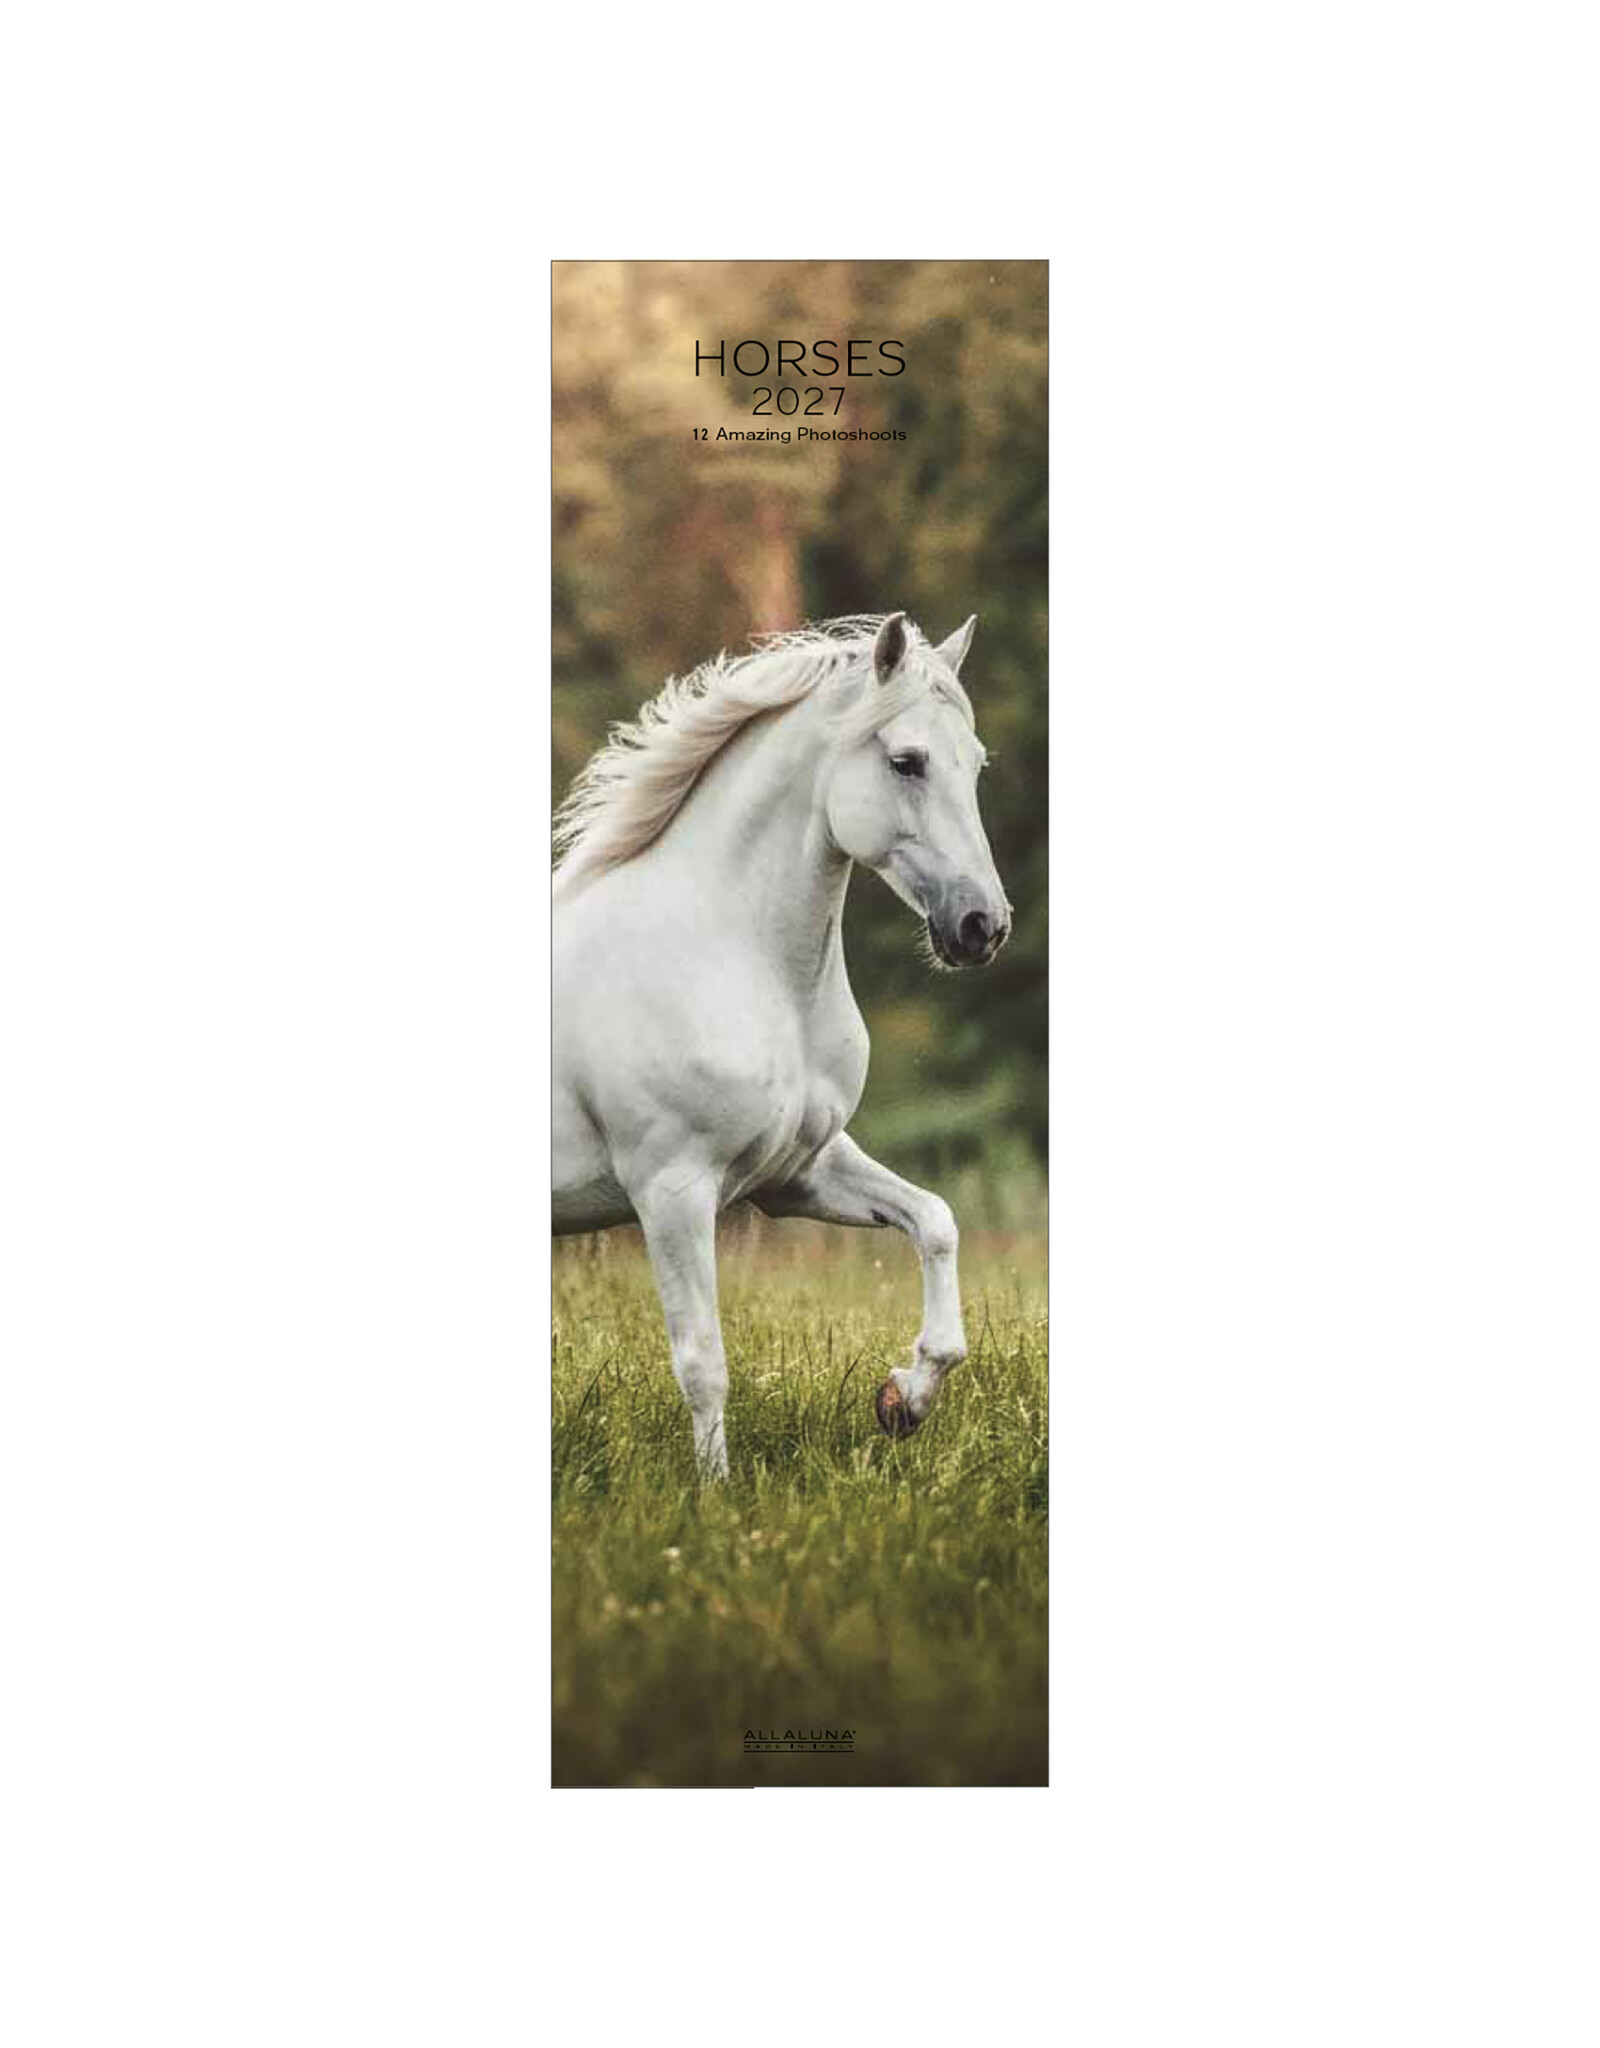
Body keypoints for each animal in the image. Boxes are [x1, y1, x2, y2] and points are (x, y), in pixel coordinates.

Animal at [551, 611, 1011, 1476]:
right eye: (906, 761)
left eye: (976, 764)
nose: (982, 927)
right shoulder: (672, 1189)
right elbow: (703, 1362)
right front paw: (717, 1496)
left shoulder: (797, 1173)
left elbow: (935, 1221)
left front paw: (903, 1399)